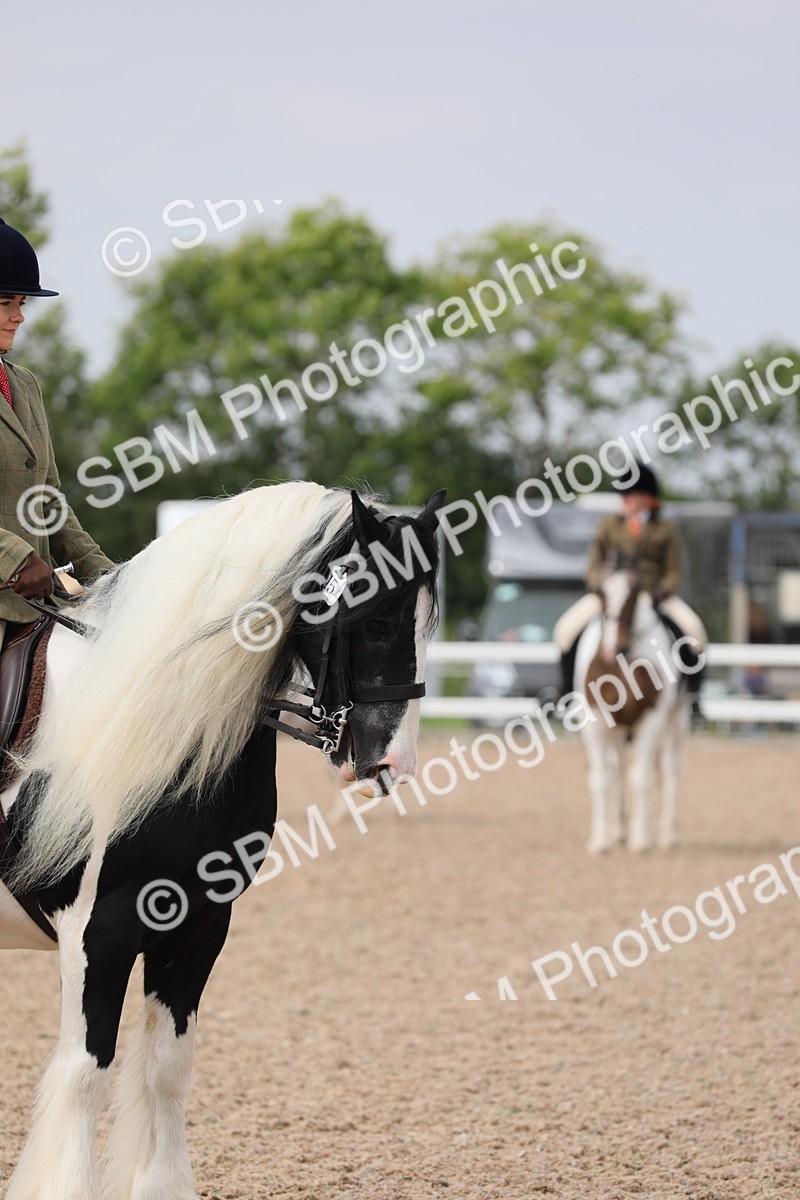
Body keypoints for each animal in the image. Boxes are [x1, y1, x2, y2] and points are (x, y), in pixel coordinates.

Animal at [0, 480, 445, 1200]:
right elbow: (85, 1074)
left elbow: (166, 1067)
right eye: (377, 619)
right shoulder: (96, 930)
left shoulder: (199, 924)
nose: (393, 765)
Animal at [568, 568, 694, 853]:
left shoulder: (651, 719)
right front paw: (600, 840)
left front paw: (641, 839)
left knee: (670, 769)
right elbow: (601, 779)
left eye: (635, 594)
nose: (612, 648)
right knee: (619, 769)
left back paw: (667, 835)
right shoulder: (595, 721)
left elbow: (642, 779)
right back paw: (619, 829)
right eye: (600, 593)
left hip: (677, 718)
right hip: (619, 729)